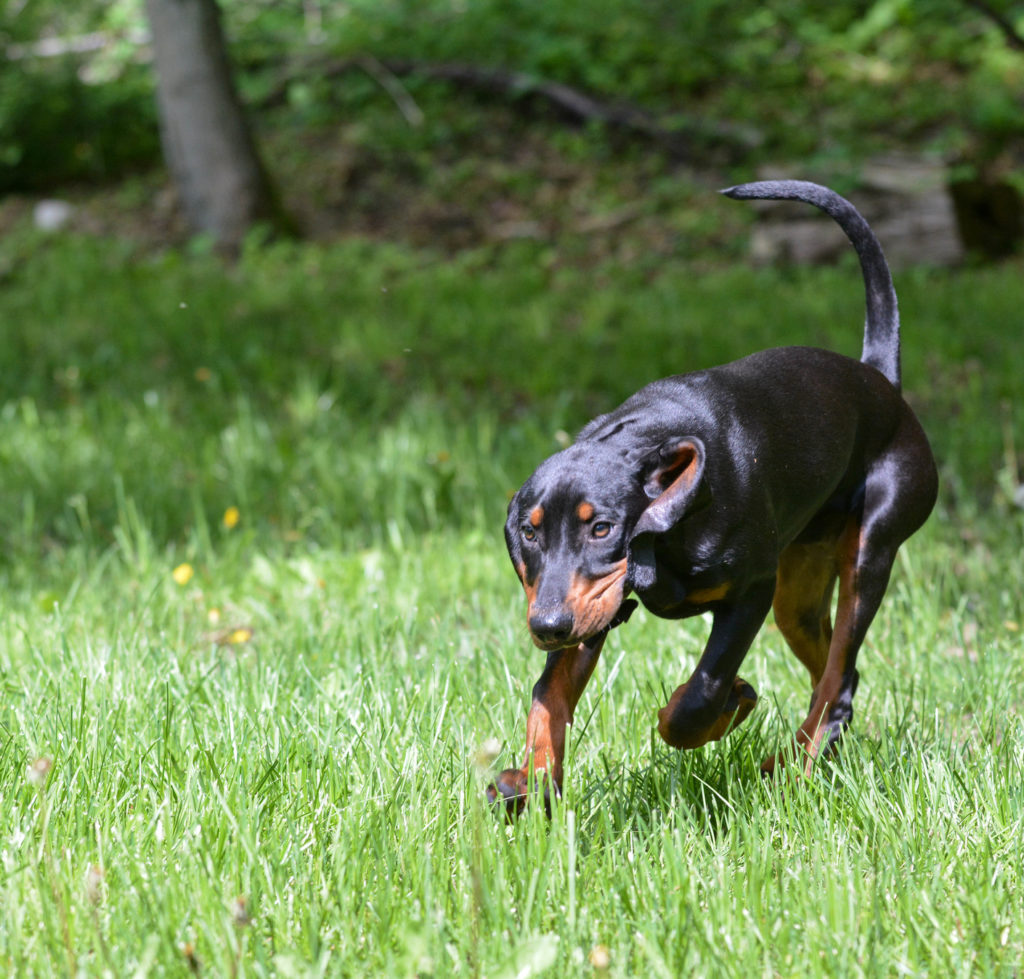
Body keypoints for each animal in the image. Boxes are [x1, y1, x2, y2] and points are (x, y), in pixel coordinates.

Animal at [487, 180, 937, 815]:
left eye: (601, 528)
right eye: (529, 532)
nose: (547, 625)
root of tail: (882, 383)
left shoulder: (749, 591)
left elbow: (702, 690)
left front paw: (728, 704)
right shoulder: (591, 610)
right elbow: (547, 695)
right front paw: (529, 781)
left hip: (869, 549)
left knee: (838, 673)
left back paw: (795, 766)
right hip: (798, 594)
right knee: (839, 674)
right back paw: (794, 760)